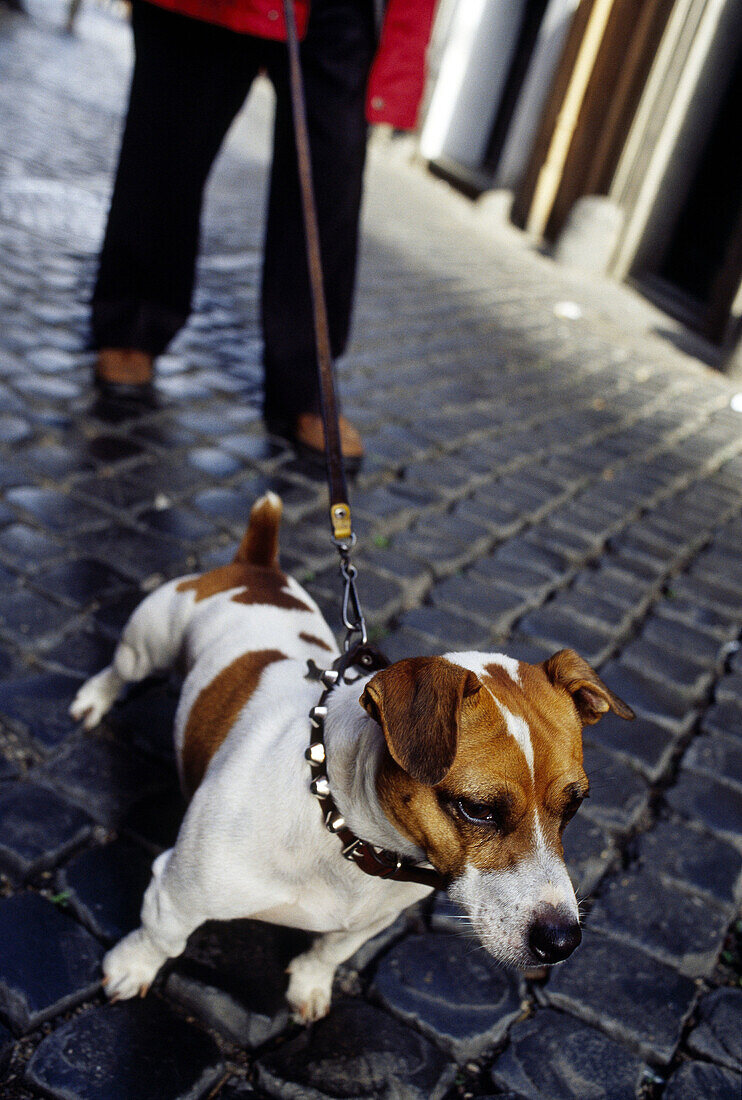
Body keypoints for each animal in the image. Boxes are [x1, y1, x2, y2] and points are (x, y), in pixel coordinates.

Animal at [69, 492, 633, 1020]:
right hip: (148, 644)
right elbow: (163, 938)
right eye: (477, 809)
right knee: (121, 669)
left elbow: (330, 951)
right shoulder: (178, 892)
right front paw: (133, 967)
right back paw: (95, 699)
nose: (562, 941)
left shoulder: (368, 922)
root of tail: (256, 564)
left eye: (574, 806)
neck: (343, 824)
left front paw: (309, 985)